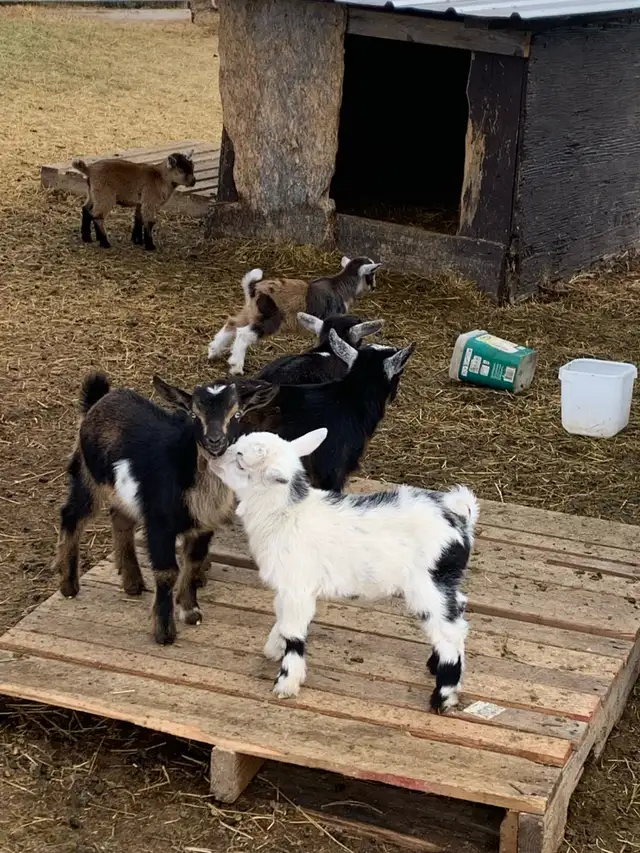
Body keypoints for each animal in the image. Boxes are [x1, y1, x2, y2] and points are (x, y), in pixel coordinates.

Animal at [53, 372, 276, 645]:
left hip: (122, 490)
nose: (214, 441)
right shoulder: (159, 522)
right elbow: (167, 572)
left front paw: (190, 610)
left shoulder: (204, 524)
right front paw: (164, 631)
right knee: (72, 515)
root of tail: (99, 401)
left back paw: (132, 582)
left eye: (236, 414)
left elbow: (193, 561)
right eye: (194, 415)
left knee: (120, 518)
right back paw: (69, 585)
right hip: (89, 473)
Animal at [206, 255, 381, 375]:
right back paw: (236, 367)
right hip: (270, 319)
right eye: (372, 273)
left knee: (232, 324)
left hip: (251, 312)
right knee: (243, 333)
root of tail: (253, 288)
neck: (339, 287)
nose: (374, 287)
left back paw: (213, 351)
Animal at [213, 428, 479, 713]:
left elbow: (294, 633)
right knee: (458, 612)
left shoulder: (298, 587)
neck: (285, 514)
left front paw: (286, 683)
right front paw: (273, 648)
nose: (213, 458)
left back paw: (443, 697)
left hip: (428, 584)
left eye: (241, 462)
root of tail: (459, 517)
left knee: (449, 632)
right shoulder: (286, 588)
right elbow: (282, 621)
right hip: (444, 581)